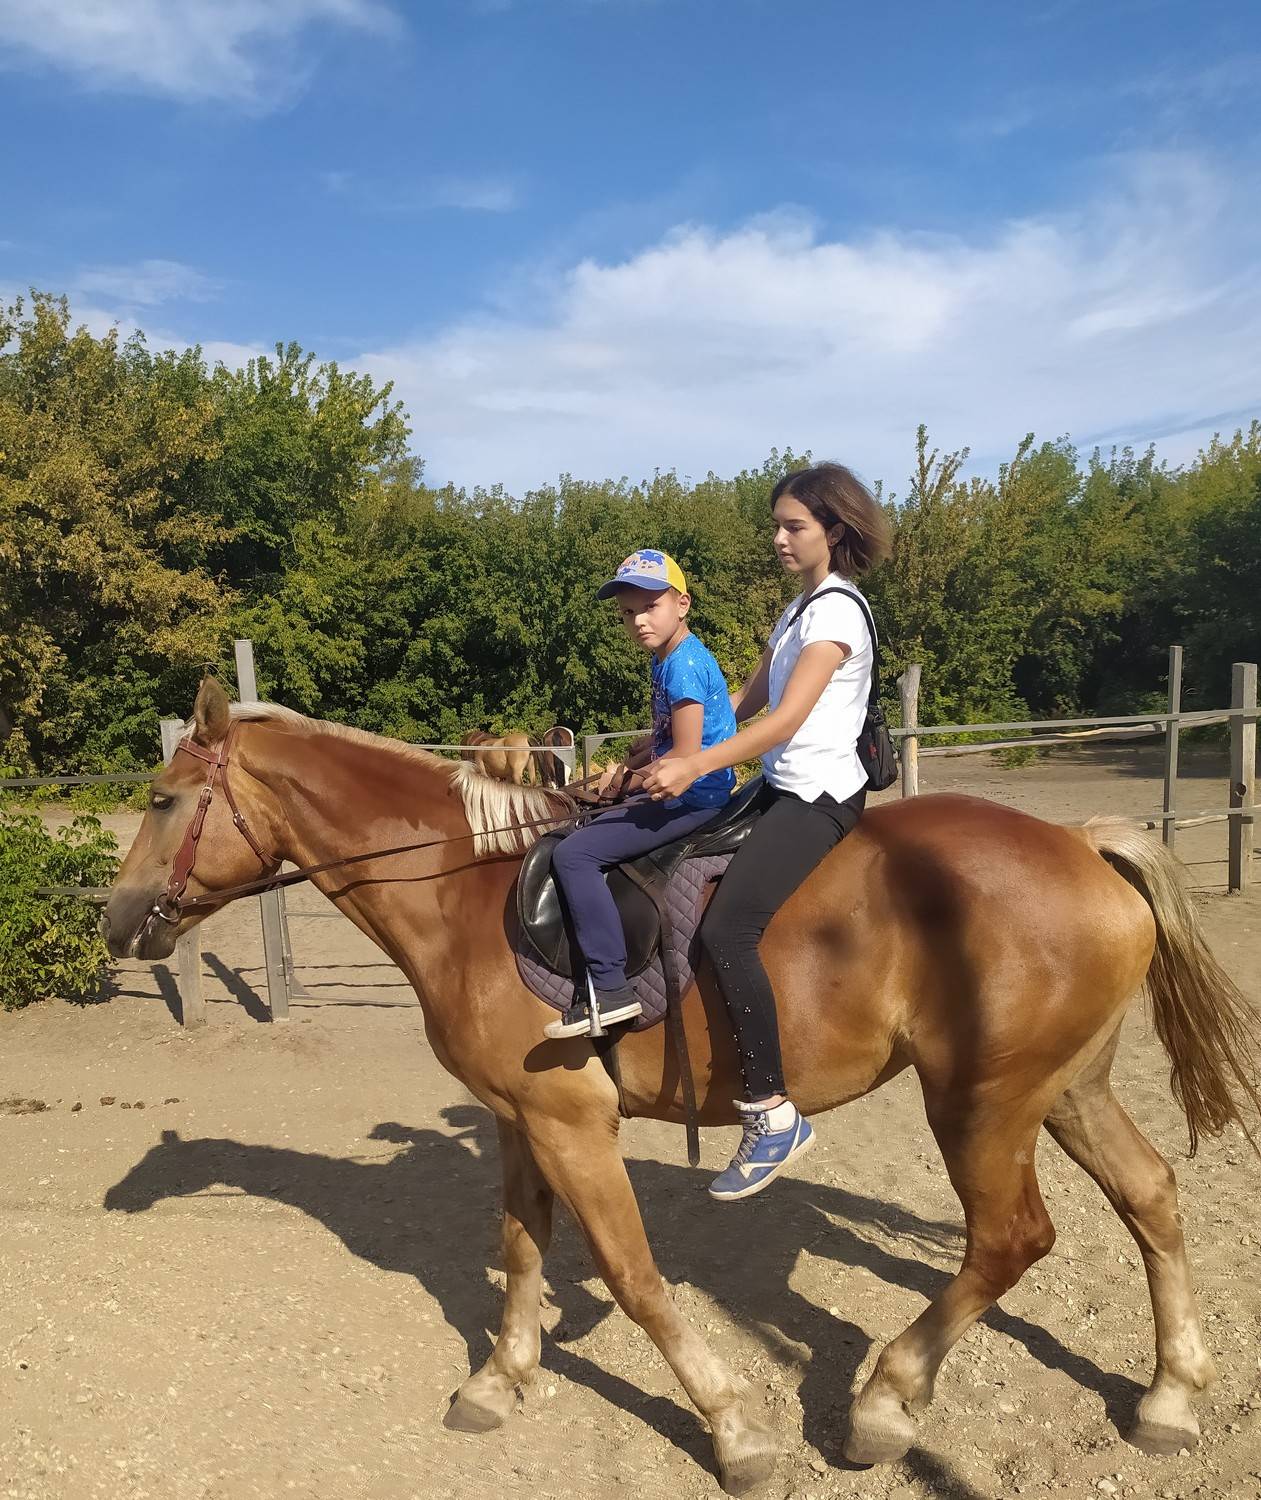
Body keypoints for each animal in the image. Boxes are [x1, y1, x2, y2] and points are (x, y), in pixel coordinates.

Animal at [103, 679, 1260, 1495]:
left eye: (164, 800)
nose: (115, 922)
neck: (470, 893)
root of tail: (1079, 845)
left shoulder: (573, 1124)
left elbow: (633, 1274)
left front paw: (735, 1428)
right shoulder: (520, 1120)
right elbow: (521, 1246)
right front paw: (499, 1379)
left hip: (980, 1102)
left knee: (1012, 1239)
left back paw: (884, 1403)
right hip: (1064, 1089)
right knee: (1150, 1196)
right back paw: (1167, 1399)